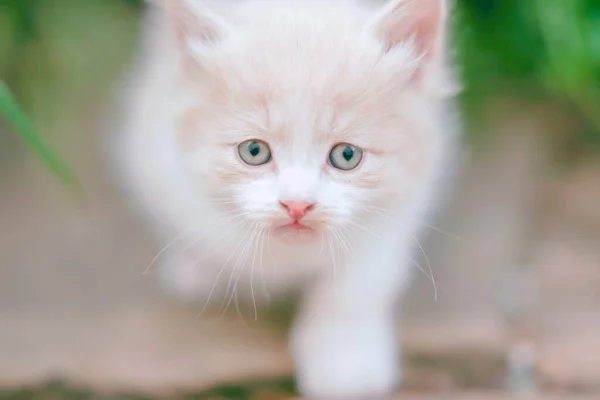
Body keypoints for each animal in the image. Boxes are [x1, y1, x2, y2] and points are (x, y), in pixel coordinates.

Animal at [118, 0, 460, 396]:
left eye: (347, 156)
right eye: (253, 151)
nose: (297, 204)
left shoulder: (400, 209)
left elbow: (353, 289)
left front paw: (344, 361)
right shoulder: (155, 155)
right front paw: (198, 265)